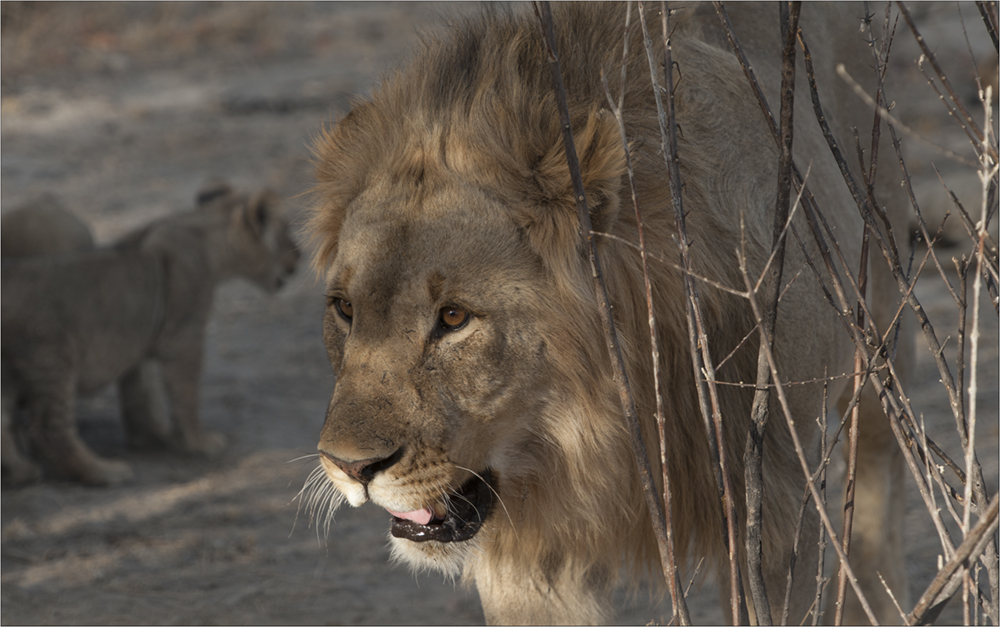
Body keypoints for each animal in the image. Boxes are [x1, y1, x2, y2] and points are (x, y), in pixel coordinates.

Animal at [1, 182, 298, 486]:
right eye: (285, 231)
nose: (299, 256)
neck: (200, 230)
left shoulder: (140, 341)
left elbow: (143, 391)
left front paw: (152, 439)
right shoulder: (185, 337)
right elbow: (185, 394)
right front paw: (198, 442)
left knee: (4, 420)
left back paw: (19, 471)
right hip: (52, 357)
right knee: (49, 429)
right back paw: (105, 472)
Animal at [308, 3, 912, 624]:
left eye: (453, 318)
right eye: (346, 309)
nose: (348, 467)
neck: (587, 428)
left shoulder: (774, 504)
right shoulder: (532, 557)